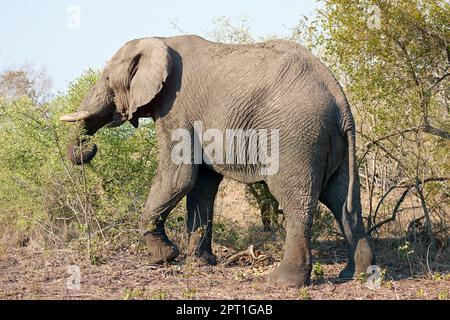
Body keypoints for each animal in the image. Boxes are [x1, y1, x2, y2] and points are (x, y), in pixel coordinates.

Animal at [59, 35, 372, 288]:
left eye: (107, 80)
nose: (90, 147)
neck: (159, 39)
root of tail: (340, 100)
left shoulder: (176, 108)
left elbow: (179, 177)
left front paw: (164, 256)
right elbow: (202, 185)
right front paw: (199, 262)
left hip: (296, 137)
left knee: (296, 200)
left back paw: (283, 283)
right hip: (332, 141)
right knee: (344, 201)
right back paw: (356, 275)